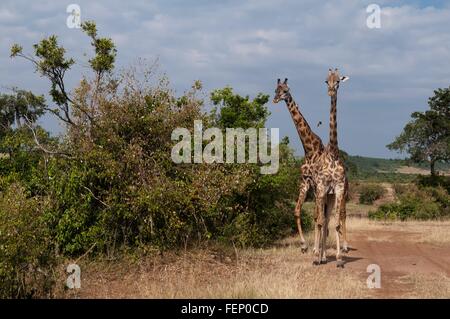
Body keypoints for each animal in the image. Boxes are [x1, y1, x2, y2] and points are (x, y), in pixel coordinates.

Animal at [270, 77, 324, 252]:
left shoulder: (316, 184)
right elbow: (297, 211)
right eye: (276, 89)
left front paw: (315, 248)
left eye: (286, 90)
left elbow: (316, 216)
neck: (309, 149)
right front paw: (304, 245)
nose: (275, 99)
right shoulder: (305, 183)